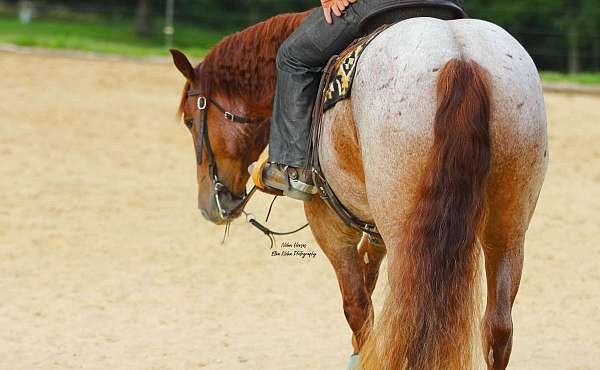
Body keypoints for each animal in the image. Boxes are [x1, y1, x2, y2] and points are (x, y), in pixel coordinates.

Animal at [169, 8, 548, 370]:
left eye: (189, 120)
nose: (211, 205)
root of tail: (461, 59)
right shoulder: (374, 226)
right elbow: (368, 277)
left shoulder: (329, 224)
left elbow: (357, 305)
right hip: (508, 231)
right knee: (498, 328)